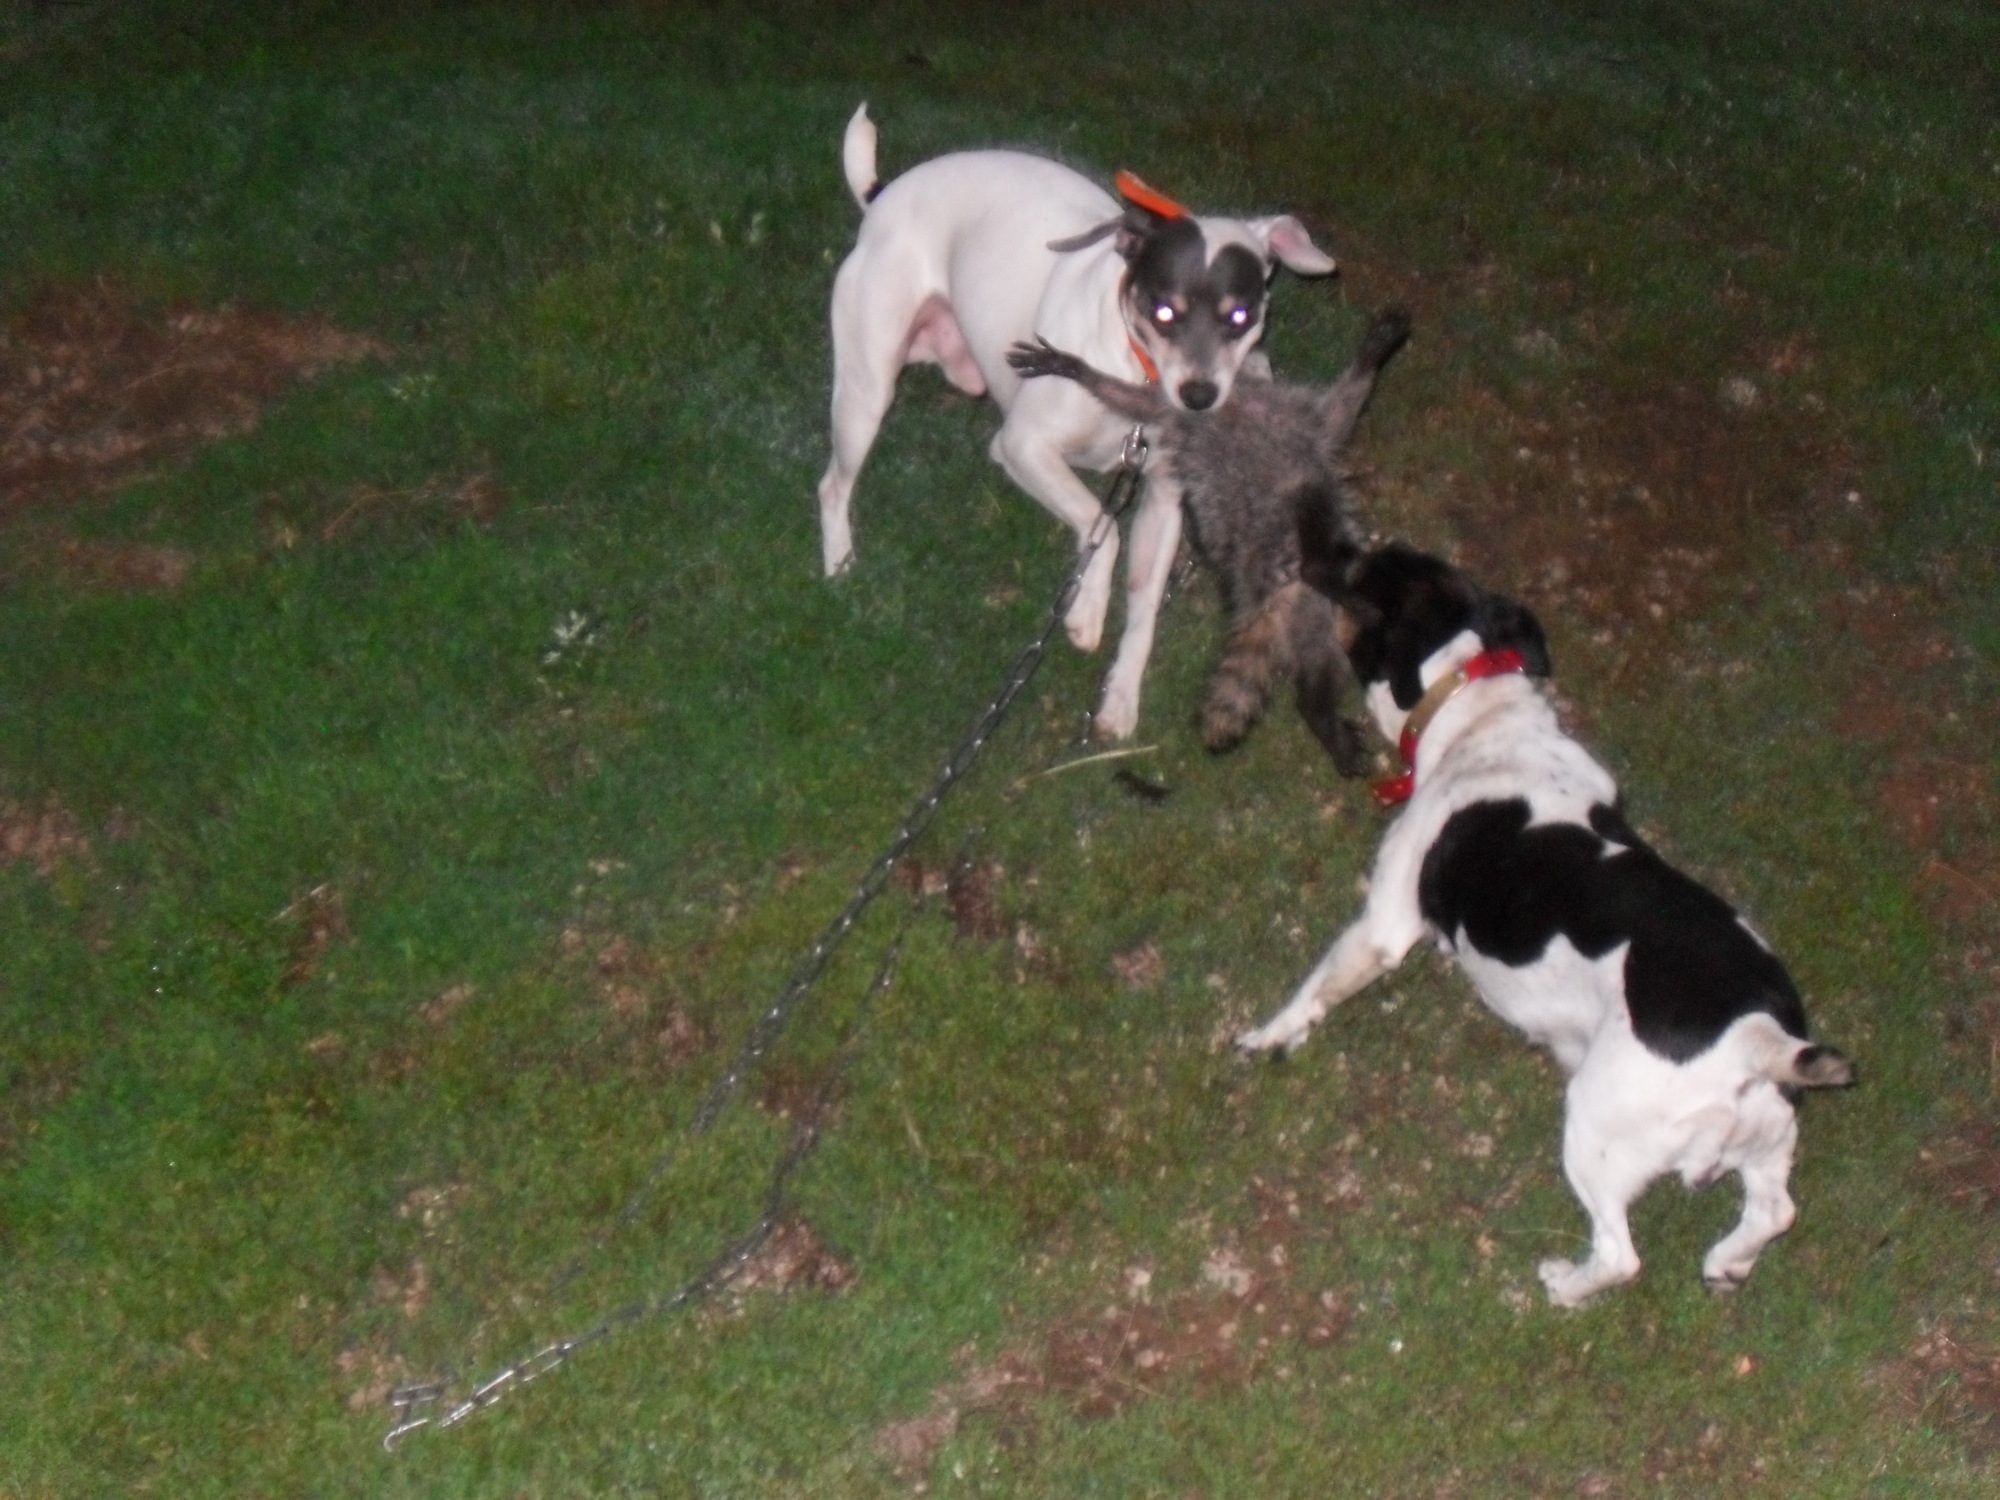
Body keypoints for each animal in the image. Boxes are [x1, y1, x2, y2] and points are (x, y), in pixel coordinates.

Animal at [816, 103, 1336, 740]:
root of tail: (886, 192)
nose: (1198, 395)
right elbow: (1100, 526)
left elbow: (1143, 606)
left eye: (1240, 316)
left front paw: (1121, 697)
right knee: (833, 484)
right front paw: (1087, 609)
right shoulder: (1020, 447)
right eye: (1164, 311)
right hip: (867, 390)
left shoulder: (1162, 498)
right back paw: (839, 562)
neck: (1133, 377)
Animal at [1006, 307, 1410, 770]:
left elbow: (1344, 405)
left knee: (1322, 667)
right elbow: (1127, 398)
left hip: (1318, 617)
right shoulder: (1194, 413)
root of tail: (1273, 593)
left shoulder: (1298, 418)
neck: (1229, 394)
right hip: (1304, 549)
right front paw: (1077, 369)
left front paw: (1374, 352)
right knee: (1310, 507)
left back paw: (1318, 711)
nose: (1260, 348)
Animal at [1236, 540, 1853, 1306]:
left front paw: (1268, 1036)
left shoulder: (1382, 926)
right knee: (1775, 1209)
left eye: (1361, 570)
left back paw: (1566, 1284)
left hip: (1591, 1123)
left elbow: (1315, 989)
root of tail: (1756, 1040)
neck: (1478, 712)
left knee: (1620, 1255)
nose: (1314, 550)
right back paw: (1729, 1261)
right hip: (1768, 1138)